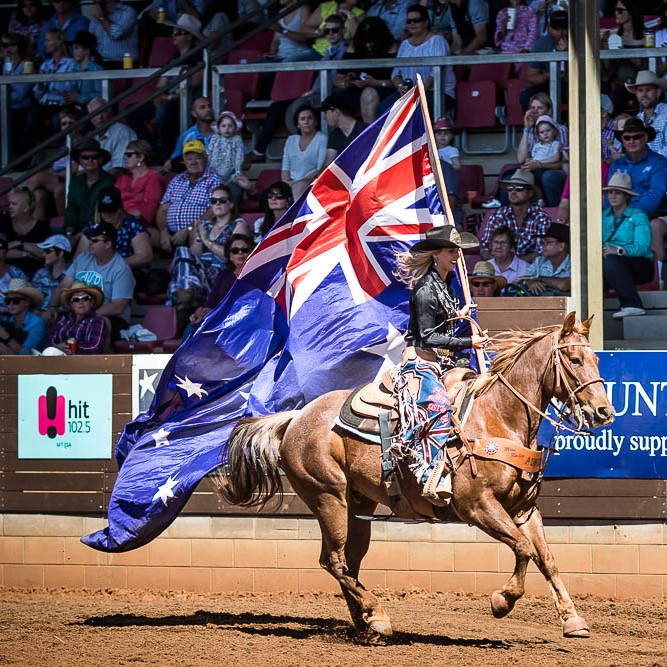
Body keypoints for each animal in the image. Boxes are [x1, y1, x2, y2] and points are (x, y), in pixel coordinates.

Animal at [219, 316, 616, 644]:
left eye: (597, 360)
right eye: (575, 360)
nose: (604, 412)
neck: (497, 417)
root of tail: (295, 417)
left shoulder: (524, 509)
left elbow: (546, 558)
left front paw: (573, 620)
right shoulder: (478, 507)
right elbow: (523, 549)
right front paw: (502, 601)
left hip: (357, 504)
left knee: (348, 562)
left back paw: (366, 622)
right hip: (328, 498)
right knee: (333, 561)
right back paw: (377, 615)